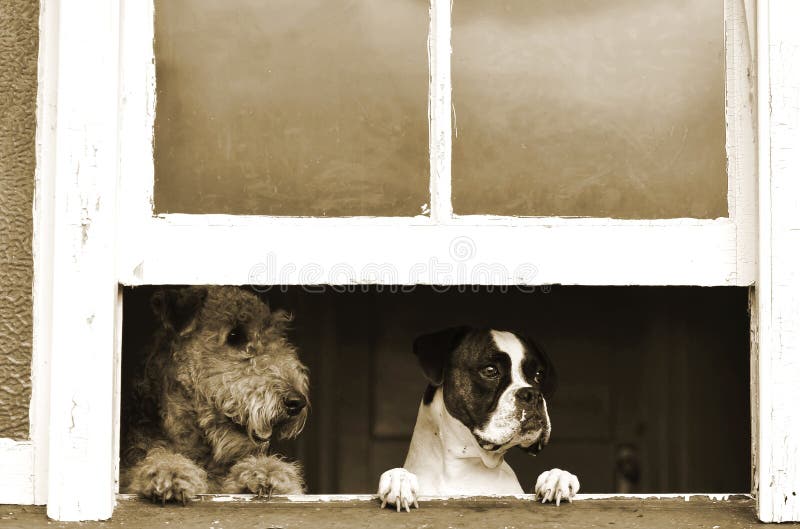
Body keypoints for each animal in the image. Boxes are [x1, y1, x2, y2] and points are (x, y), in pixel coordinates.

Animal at [378, 326, 580, 512]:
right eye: (490, 370)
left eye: (539, 375)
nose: (533, 394)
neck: (470, 465)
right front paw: (400, 480)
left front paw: (557, 477)